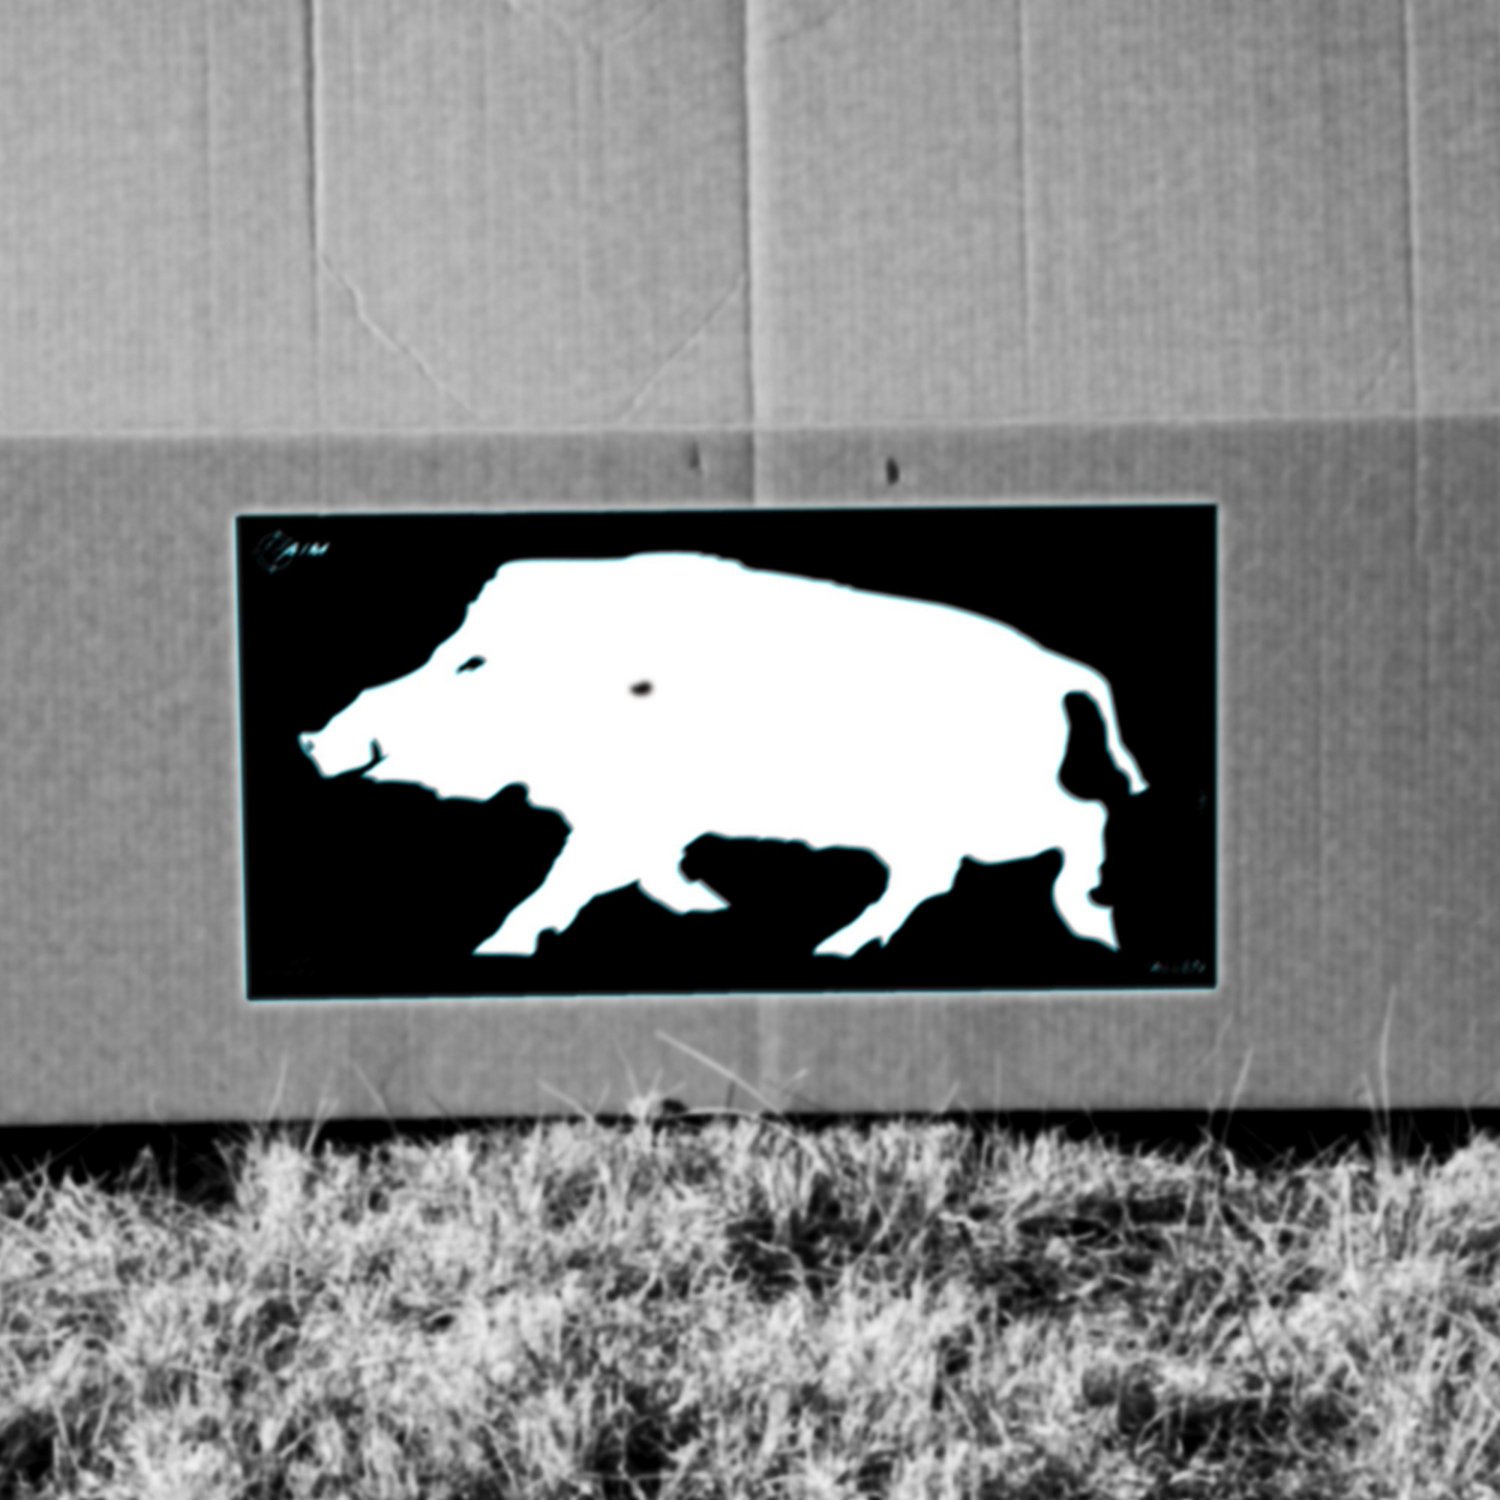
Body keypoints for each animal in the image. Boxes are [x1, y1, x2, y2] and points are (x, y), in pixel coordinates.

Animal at [299, 552, 1148, 958]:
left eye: (468, 664)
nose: (311, 738)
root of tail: (1057, 668)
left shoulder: (623, 812)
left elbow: (562, 881)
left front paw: (493, 950)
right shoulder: (646, 818)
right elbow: (644, 870)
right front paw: (715, 907)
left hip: (991, 806)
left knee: (1085, 815)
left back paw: (1092, 926)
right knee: (936, 875)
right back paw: (832, 949)